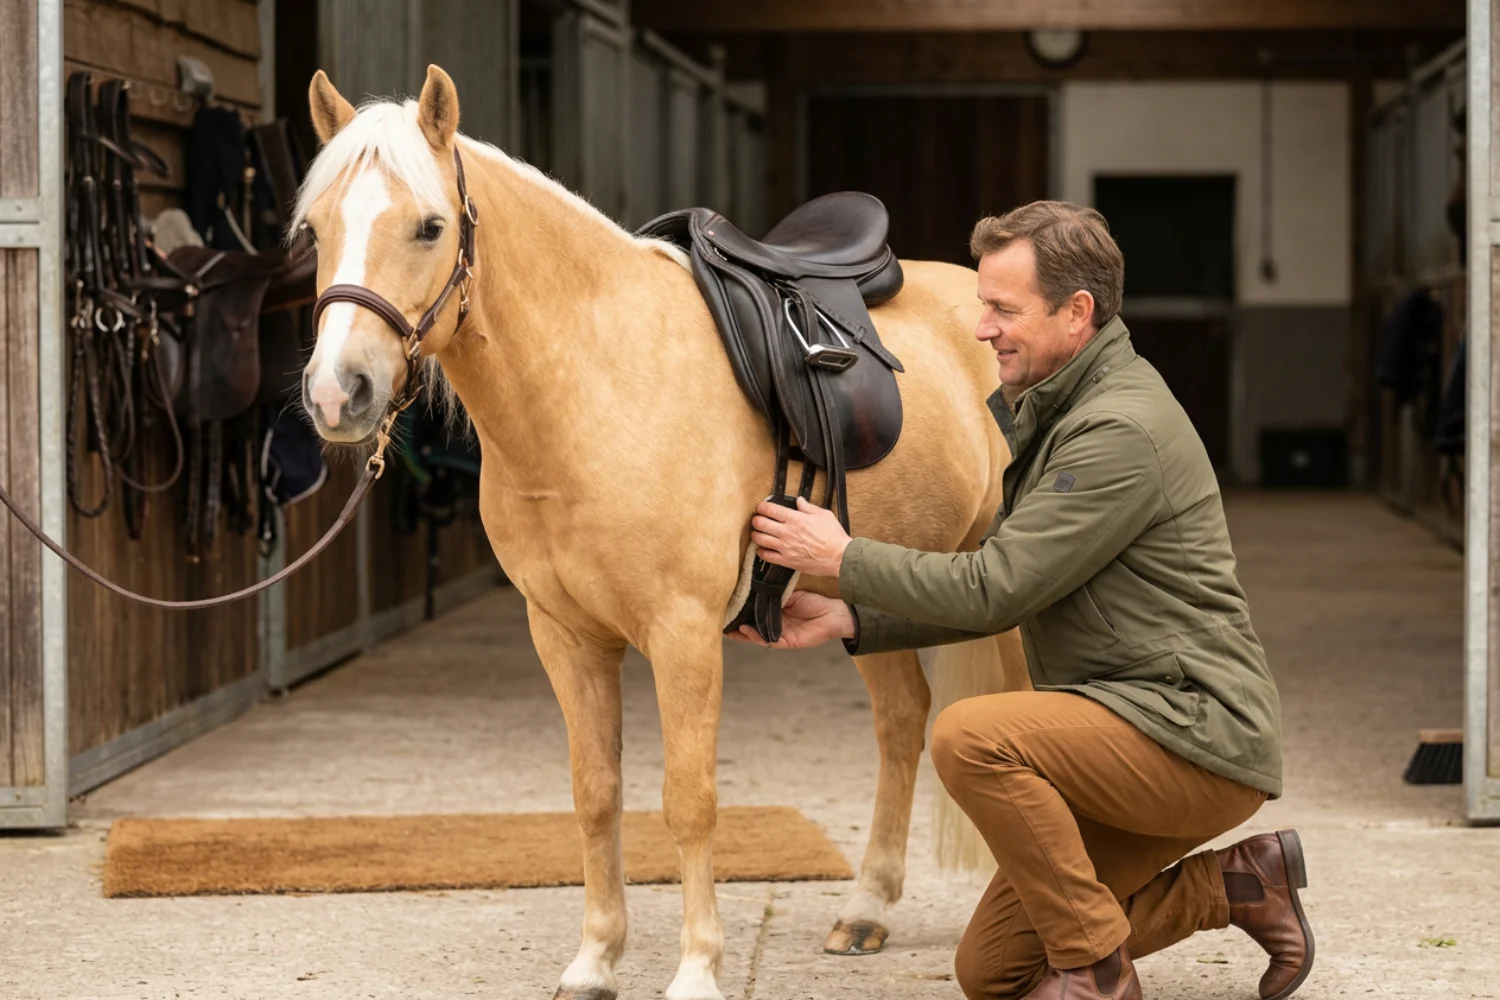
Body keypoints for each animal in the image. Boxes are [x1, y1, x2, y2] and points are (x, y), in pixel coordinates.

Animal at [294, 64, 1028, 1000]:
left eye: (429, 226)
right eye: (314, 229)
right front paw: (595, 960)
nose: (336, 393)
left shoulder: (683, 635)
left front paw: (698, 968)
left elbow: (689, 801)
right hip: (870, 583)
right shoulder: (565, 636)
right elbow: (596, 792)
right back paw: (867, 908)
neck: (599, 379)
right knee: (902, 721)